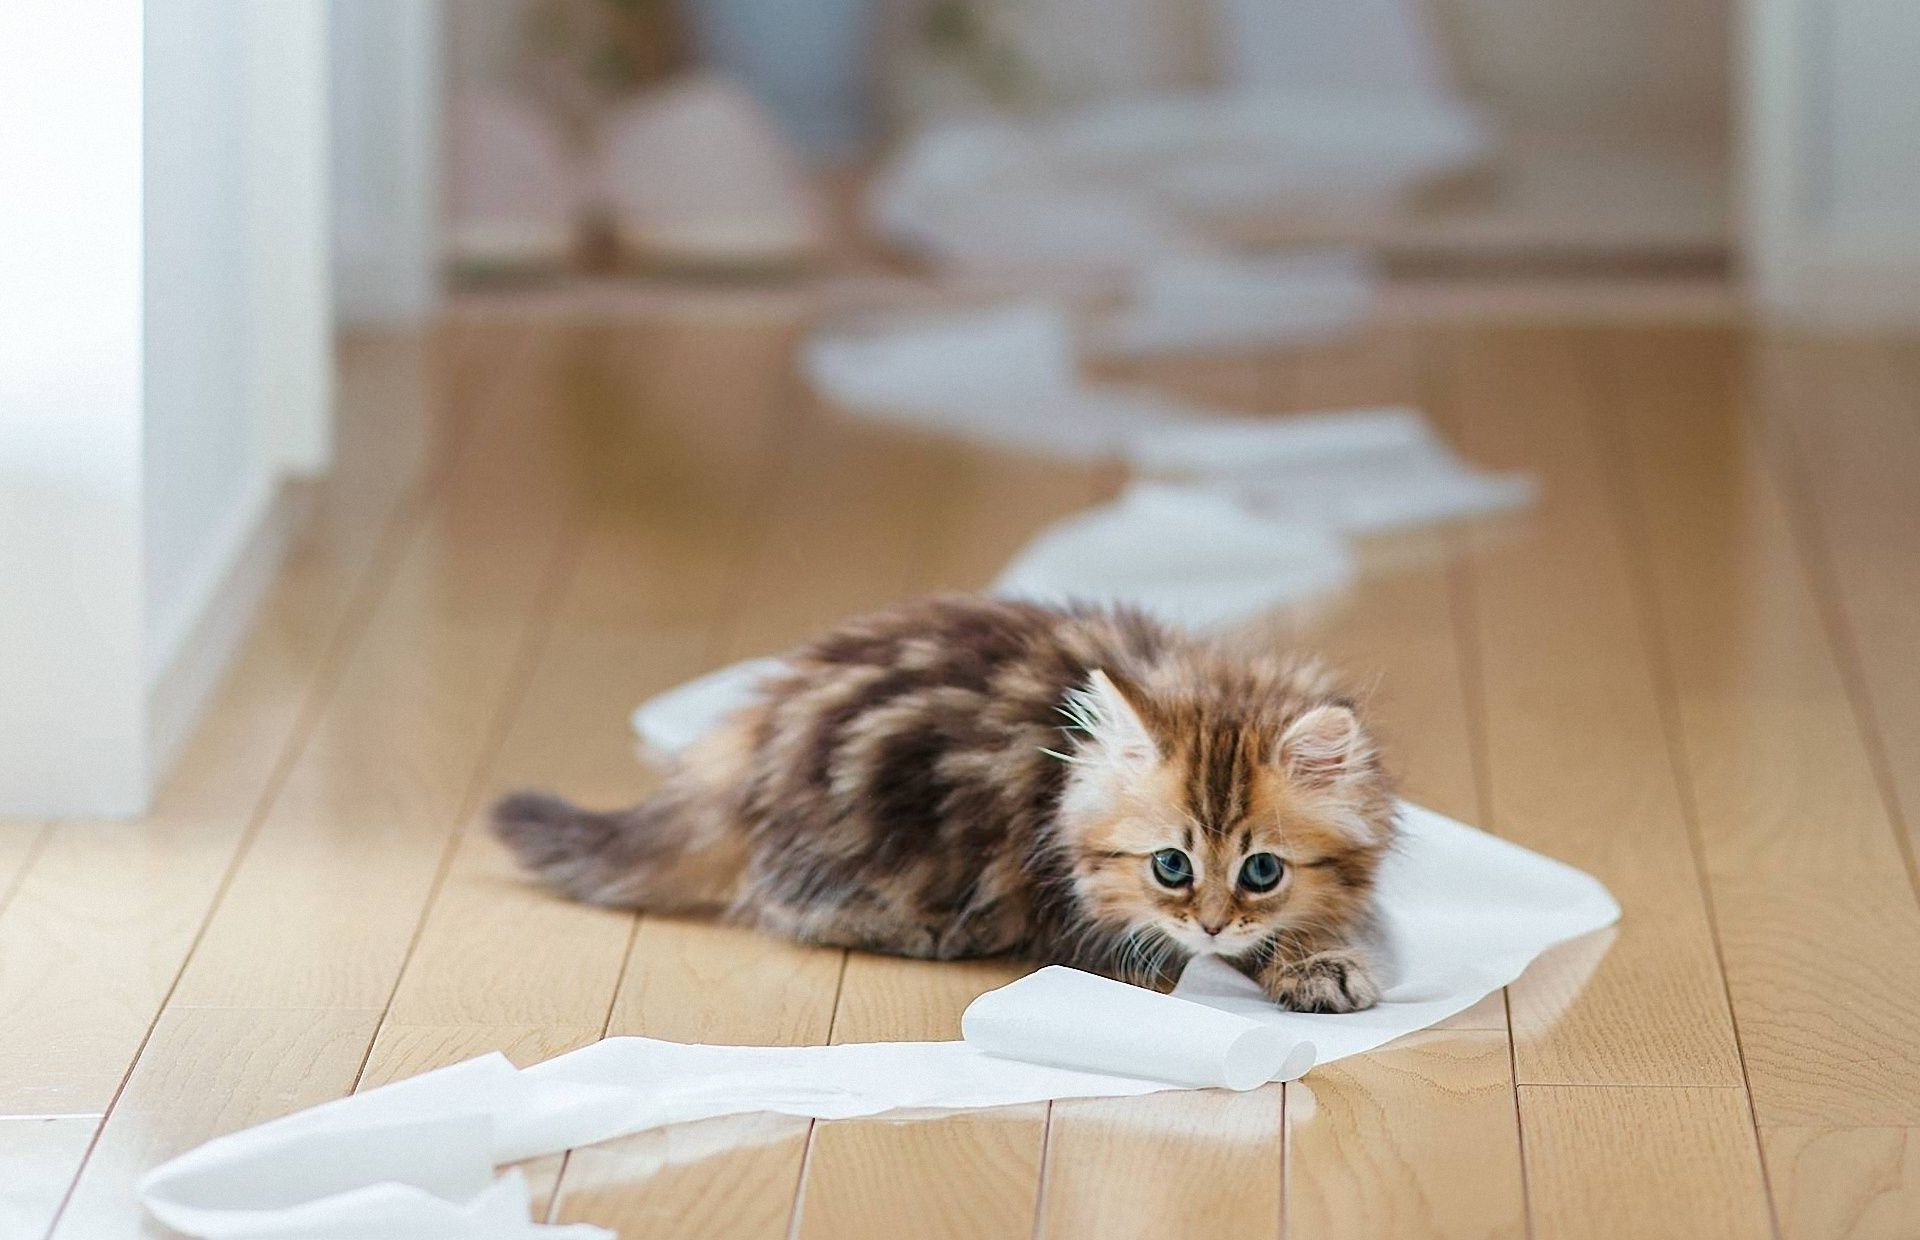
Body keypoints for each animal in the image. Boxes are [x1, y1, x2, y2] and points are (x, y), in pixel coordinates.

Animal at [495, 598, 1397, 1013]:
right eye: (1170, 866)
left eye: (1261, 871)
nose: (1210, 922)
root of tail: (757, 733)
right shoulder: (1084, 917)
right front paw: (1304, 965)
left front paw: (1321, 954)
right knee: (787, 906)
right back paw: (922, 929)